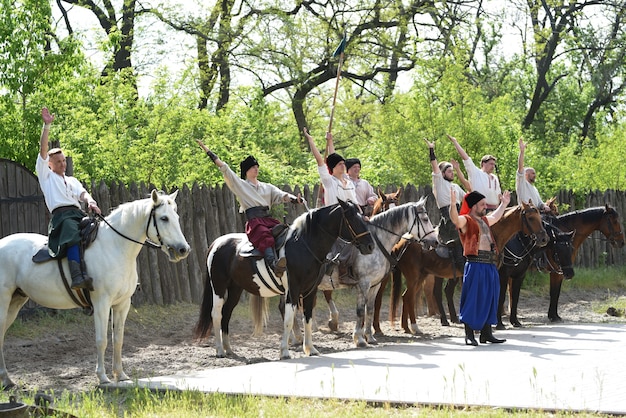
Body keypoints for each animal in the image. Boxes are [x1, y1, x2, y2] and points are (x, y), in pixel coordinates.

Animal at [0, 191, 190, 386]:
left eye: (176, 217)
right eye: (164, 218)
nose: (183, 250)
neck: (115, 247)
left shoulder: (122, 304)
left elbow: (118, 339)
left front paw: (120, 375)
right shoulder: (101, 303)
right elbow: (102, 340)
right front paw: (103, 377)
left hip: (16, 301)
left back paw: (6, 380)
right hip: (4, 300)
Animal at [193, 198, 372, 360]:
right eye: (352, 218)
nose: (370, 245)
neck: (304, 246)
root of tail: (216, 243)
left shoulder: (310, 290)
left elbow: (307, 318)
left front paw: (311, 349)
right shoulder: (293, 290)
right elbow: (288, 319)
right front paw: (285, 351)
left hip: (235, 289)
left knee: (226, 313)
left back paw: (229, 349)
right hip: (219, 287)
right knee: (216, 314)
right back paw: (219, 350)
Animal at [316, 198, 434, 348]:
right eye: (425, 219)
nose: (435, 241)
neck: (376, 245)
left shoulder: (374, 285)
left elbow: (370, 309)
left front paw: (369, 337)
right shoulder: (363, 285)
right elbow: (361, 311)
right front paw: (359, 338)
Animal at [382, 201, 548, 334]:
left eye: (541, 218)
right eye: (531, 218)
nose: (544, 238)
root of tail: (402, 243)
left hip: (421, 276)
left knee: (408, 297)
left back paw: (408, 327)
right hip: (415, 276)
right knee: (411, 296)